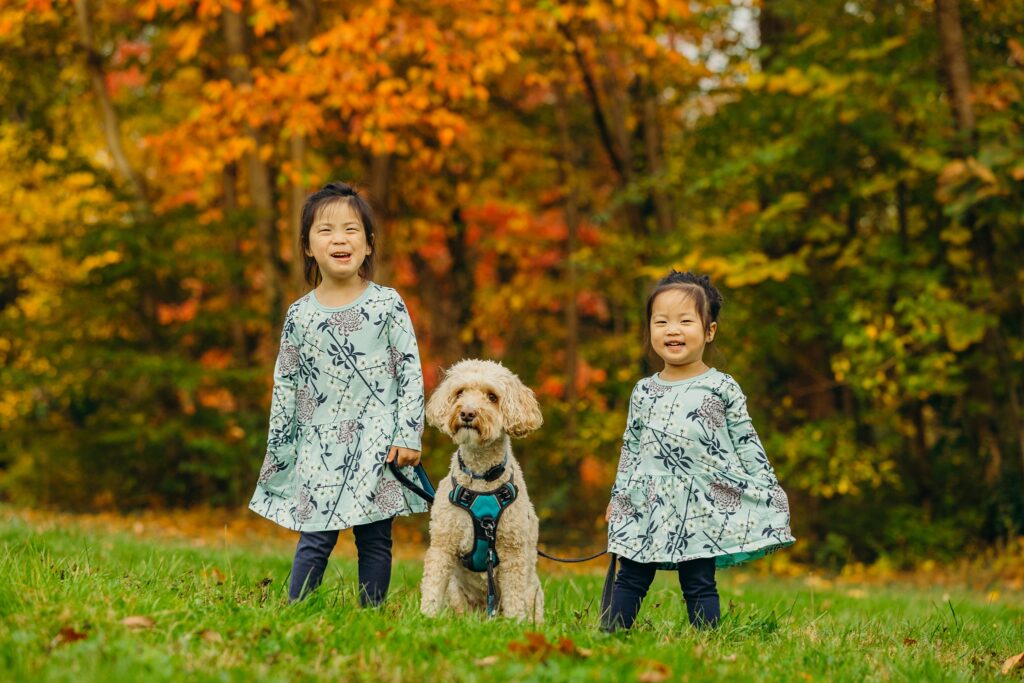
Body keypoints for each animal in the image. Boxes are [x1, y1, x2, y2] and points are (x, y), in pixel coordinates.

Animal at [417, 360, 544, 622]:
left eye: (492, 397)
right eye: (459, 392)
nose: (467, 413)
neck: (480, 478)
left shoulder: (513, 552)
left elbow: (514, 596)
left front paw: (514, 624)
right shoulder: (443, 543)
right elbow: (433, 584)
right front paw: (426, 618)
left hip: (534, 592)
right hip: (456, 592)